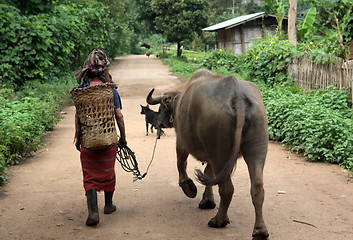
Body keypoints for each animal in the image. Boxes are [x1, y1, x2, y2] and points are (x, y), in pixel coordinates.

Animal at [147, 68, 268, 239]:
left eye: (162, 107)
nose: (159, 123)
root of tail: (236, 94)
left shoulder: (182, 141)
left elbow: (181, 162)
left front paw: (188, 187)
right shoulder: (210, 154)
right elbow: (208, 174)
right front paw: (207, 201)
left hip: (220, 153)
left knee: (227, 189)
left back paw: (218, 221)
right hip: (256, 146)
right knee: (257, 187)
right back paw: (260, 231)